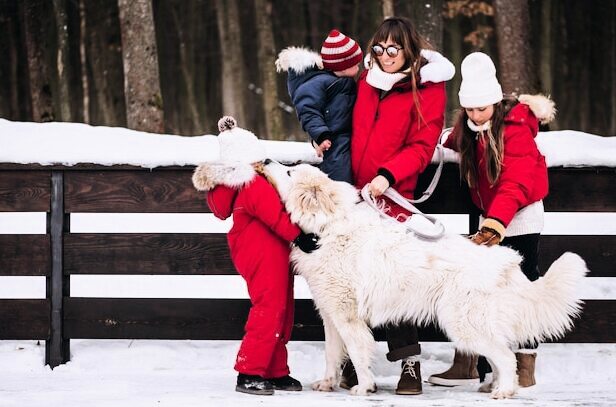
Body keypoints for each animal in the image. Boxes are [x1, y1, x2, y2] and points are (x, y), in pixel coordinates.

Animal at [262, 159, 588, 398]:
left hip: (463, 324)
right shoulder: (331, 314)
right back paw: (494, 386)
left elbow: (356, 351)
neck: (326, 227)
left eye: (289, 171)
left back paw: (504, 391)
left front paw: (364, 387)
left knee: (506, 357)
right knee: (500, 355)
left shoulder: (347, 316)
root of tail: (503, 261)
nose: (265, 160)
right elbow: (332, 353)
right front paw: (327, 383)